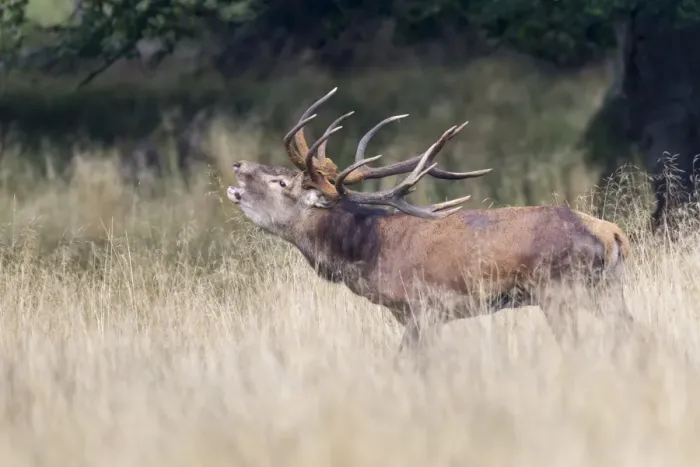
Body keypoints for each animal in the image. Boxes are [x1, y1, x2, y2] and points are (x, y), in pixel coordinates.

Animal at [226, 88, 638, 352]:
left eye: (281, 182)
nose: (238, 164)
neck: (369, 253)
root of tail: (613, 233)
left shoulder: (423, 309)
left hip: (560, 290)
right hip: (606, 289)